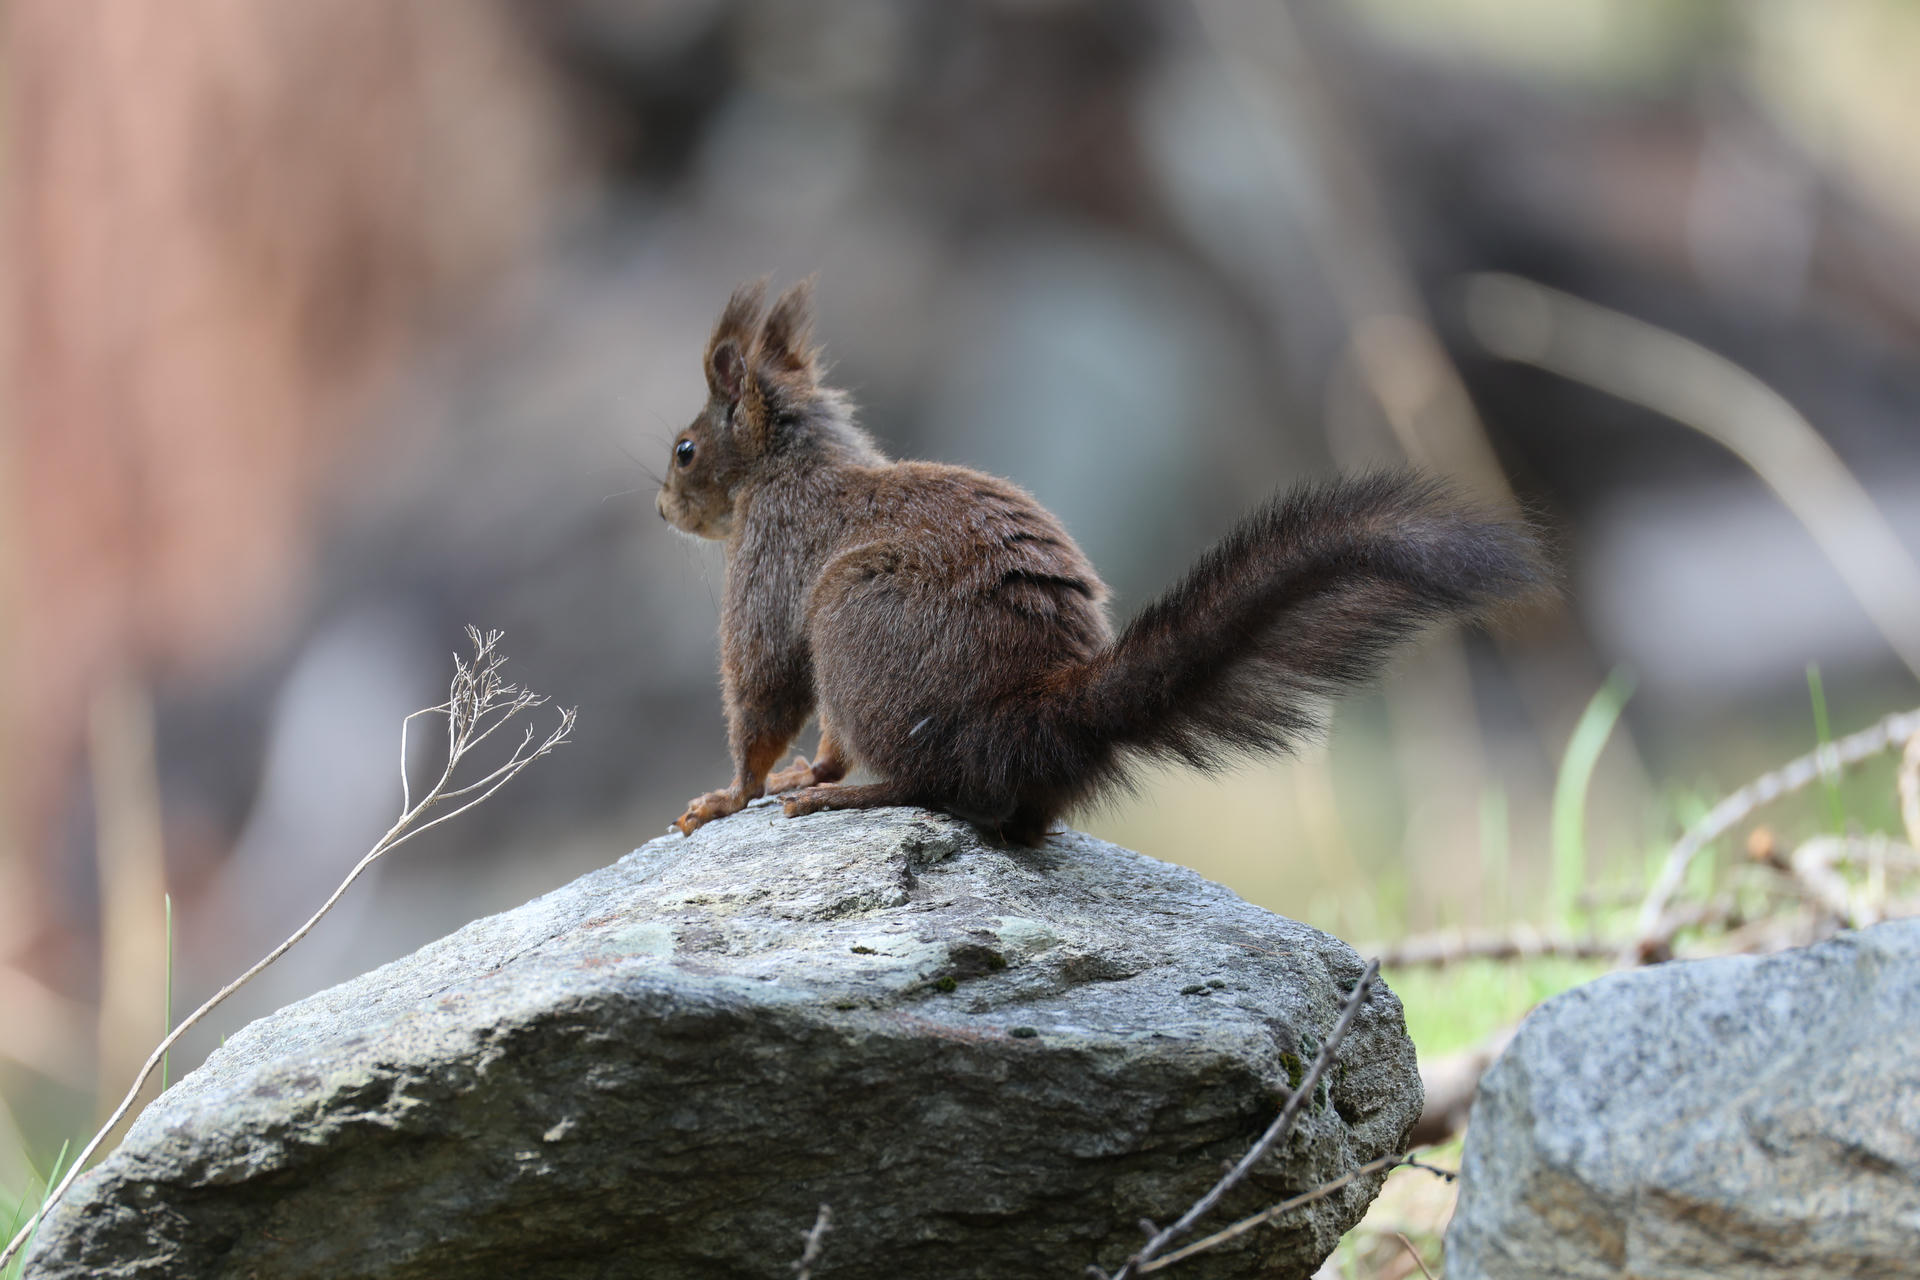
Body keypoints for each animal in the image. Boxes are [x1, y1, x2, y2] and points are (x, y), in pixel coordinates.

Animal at [657, 278, 1547, 845]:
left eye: (684, 450)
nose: (662, 508)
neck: (795, 463)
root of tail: (1035, 717)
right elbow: (821, 728)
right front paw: (805, 771)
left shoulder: (771, 556)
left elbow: (764, 683)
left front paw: (732, 795)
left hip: (854, 618)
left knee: (931, 785)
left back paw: (853, 798)